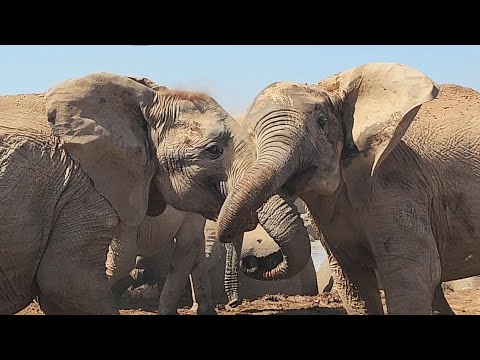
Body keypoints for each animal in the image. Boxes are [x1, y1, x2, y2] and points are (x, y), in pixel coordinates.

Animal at [215, 62, 480, 316]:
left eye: (322, 122)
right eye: (250, 137)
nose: (251, 262)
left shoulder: (397, 182)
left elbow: (413, 273)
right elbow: (354, 284)